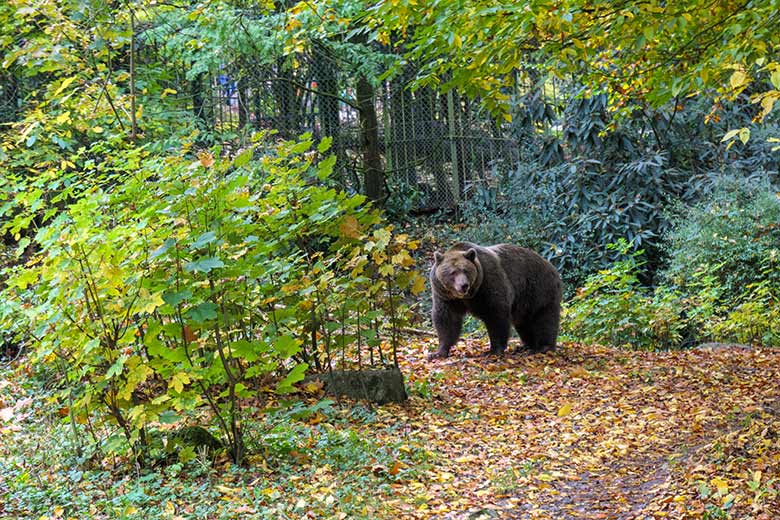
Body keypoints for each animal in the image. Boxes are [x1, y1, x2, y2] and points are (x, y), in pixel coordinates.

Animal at [426, 243, 560, 358]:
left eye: (465, 270)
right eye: (453, 272)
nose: (463, 285)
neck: (468, 296)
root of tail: (551, 266)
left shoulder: (489, 283)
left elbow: (496, 316)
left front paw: (494, 350)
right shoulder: (445, 297)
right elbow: (446, 320)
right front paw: (438, 352)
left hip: (540, 290)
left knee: (544, 319)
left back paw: (544, 347)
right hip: (525, 302)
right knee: (524, 323)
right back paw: (526, 346)